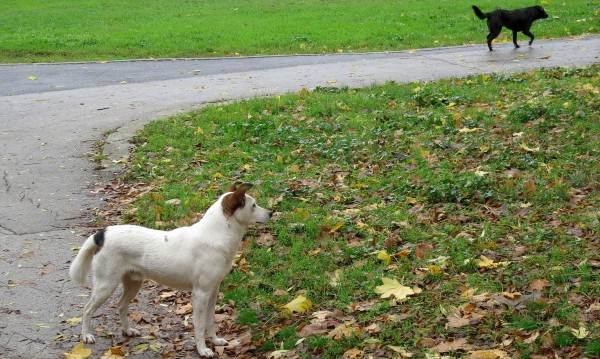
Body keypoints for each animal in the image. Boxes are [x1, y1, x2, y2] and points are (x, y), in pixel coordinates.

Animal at [69, 184, 272, 358]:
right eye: (253, 205)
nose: (271, 212)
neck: (216, 234)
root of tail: (102, 234)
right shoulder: (201, 294)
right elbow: (199, 325)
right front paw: (203, 349)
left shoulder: (213, 292)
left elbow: (210, 321)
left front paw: (215, 341)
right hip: (106, 285)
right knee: (87, 310)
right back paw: (86, 336)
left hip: (133, 283)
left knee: (121, 306)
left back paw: (127, 330)